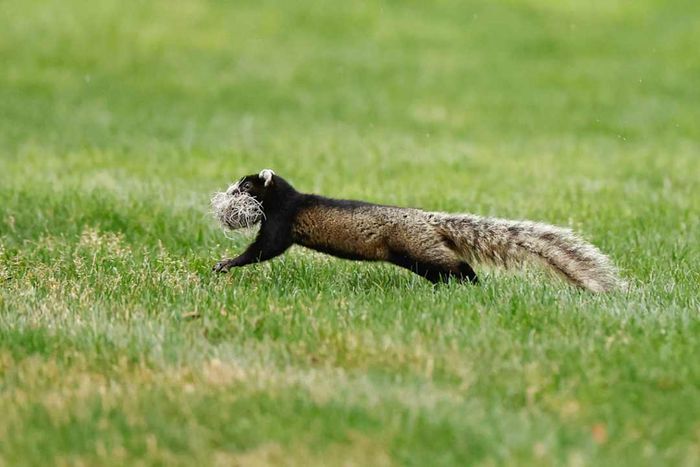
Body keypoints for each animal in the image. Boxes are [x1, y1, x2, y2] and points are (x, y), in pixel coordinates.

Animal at [212, 169, 624, 292]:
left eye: (246, 184)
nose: (229, 189)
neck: (293, 200)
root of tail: (431, 219)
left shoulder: (281, 225)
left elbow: (262, 250)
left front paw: (223, 264)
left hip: (420, 251)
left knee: (459, 266)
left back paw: (473, 286)